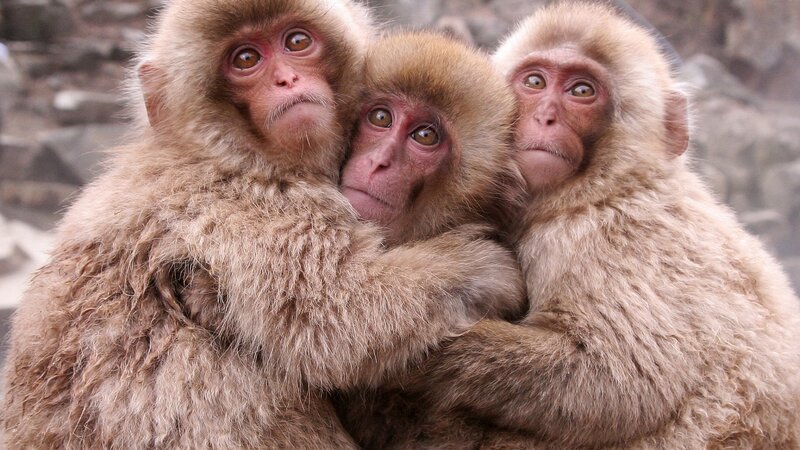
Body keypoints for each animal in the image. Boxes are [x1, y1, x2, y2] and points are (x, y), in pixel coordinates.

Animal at [0, 1, 527, 448]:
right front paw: (483, 267)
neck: (229, 151)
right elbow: (337, 313)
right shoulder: (247, 205)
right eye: (246, 59)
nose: (287, 79)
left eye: (296, 41)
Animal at [335, 2, 800, 449]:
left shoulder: (600, 237)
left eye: (581, 91)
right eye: (535, 82)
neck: (598, 189)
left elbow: (620, 381)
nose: (545, 117)